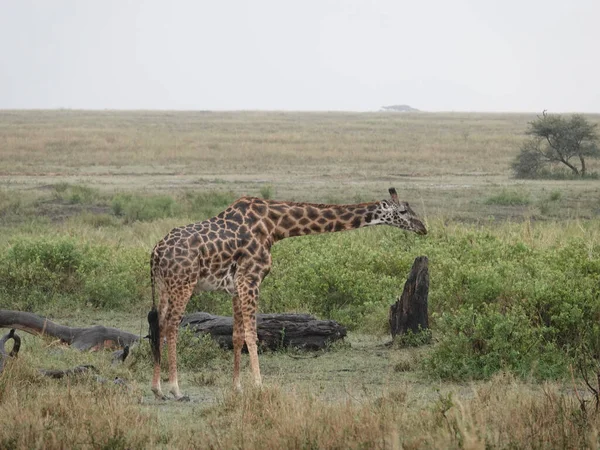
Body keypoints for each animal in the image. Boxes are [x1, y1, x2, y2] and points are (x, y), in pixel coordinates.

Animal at [147, 188, 424, 400]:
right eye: (402, 211)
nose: (423, 227)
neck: (276, 225)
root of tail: (156, 252)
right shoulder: (251, 279)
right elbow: (252, 334)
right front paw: (259, 386)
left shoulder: (236, 286)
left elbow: (237, 336)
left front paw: (237, 388)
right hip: (183, 284)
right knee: (172, 326)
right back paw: (176, 389)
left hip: (163, 286)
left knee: (158, 324)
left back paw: (157, 389)